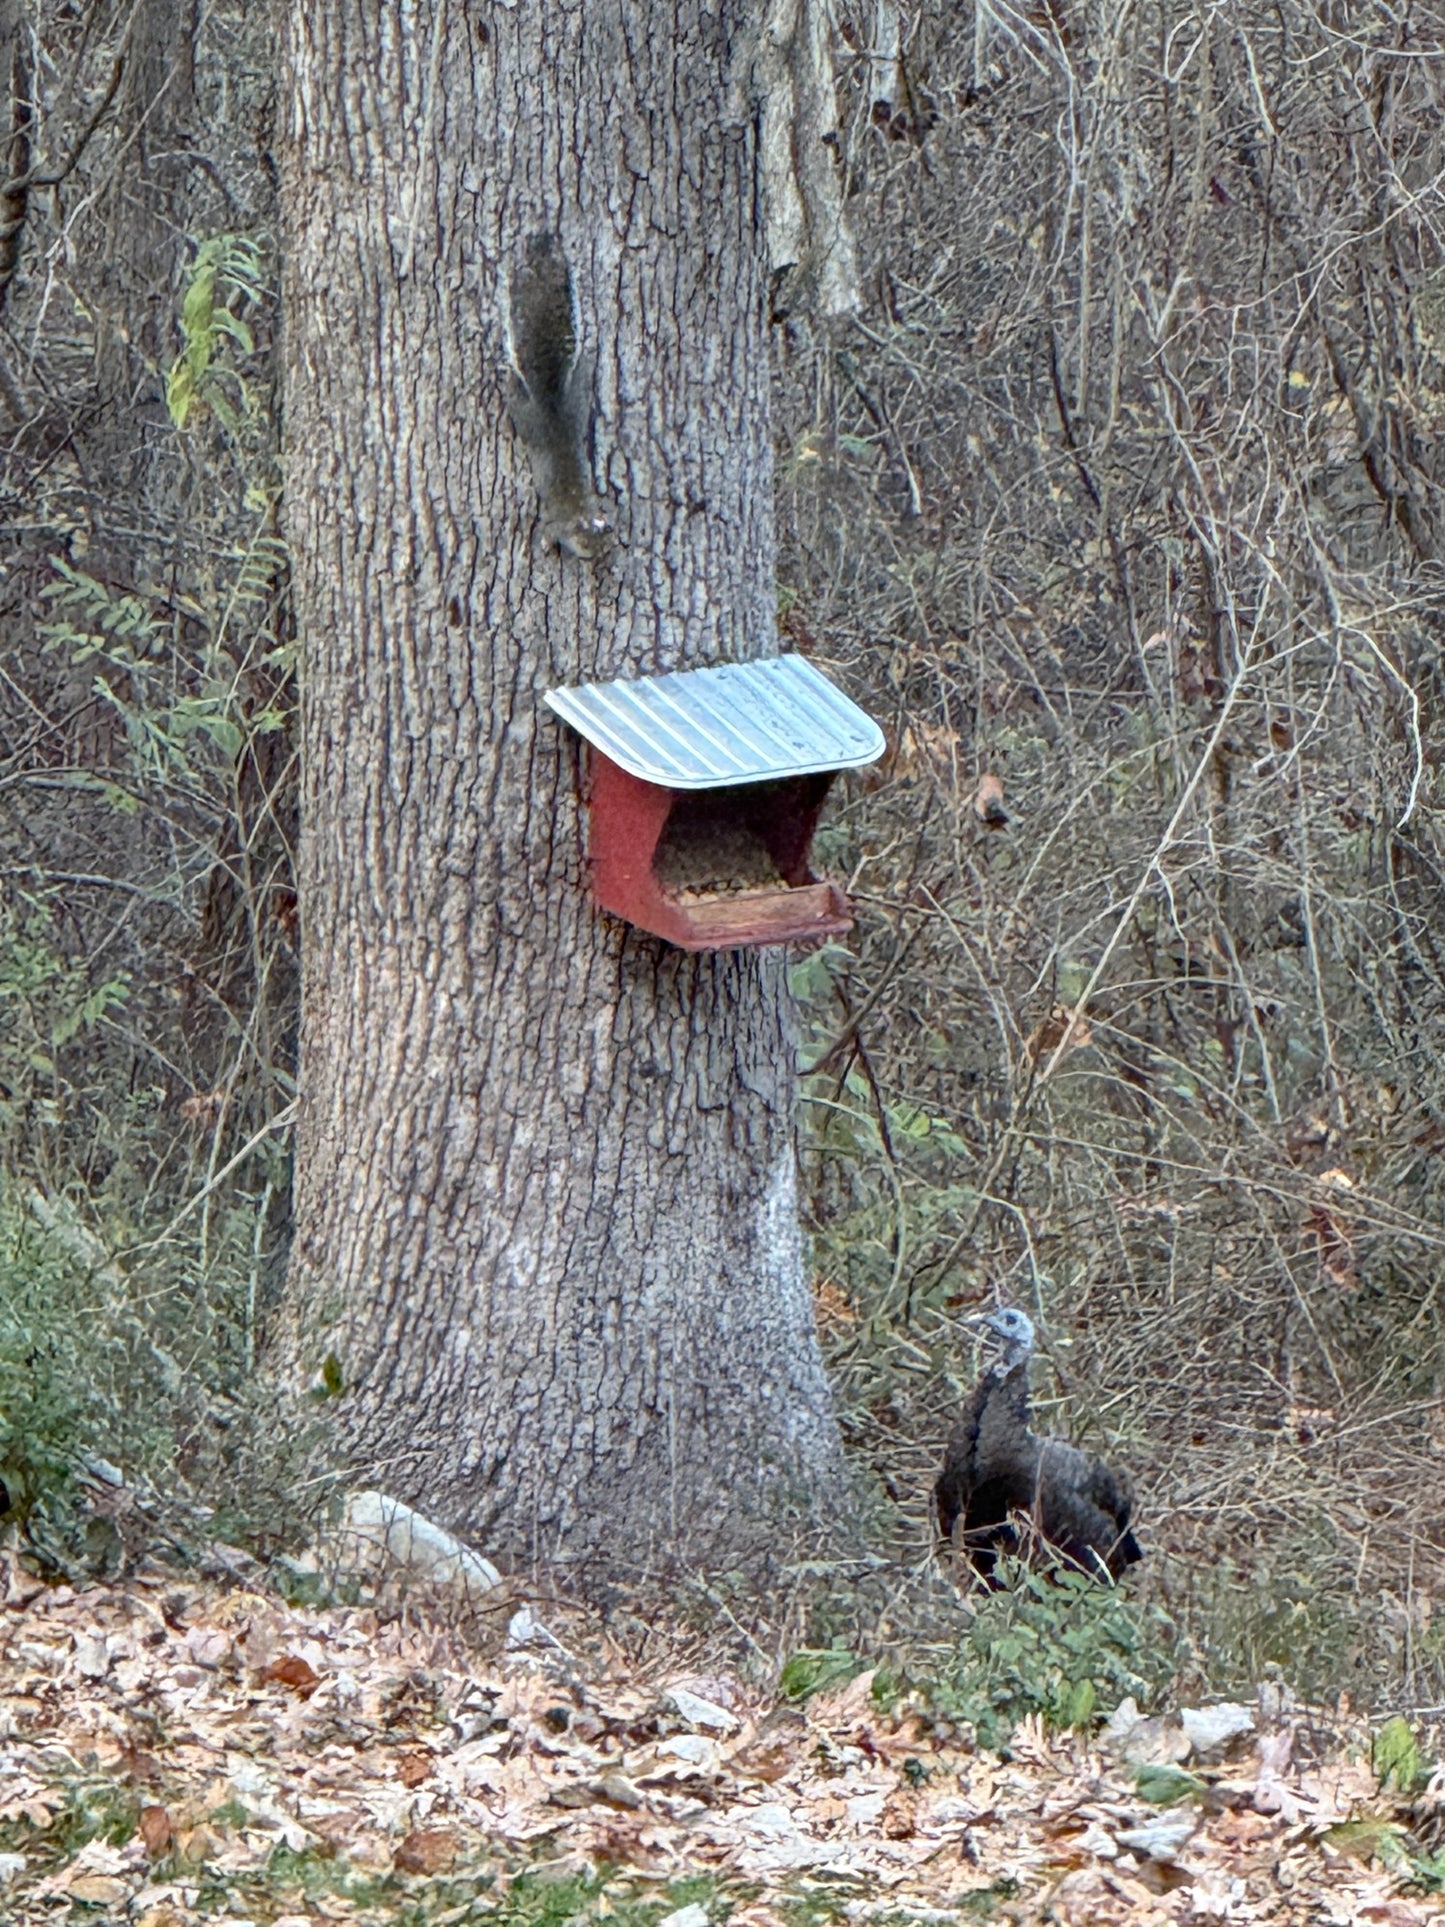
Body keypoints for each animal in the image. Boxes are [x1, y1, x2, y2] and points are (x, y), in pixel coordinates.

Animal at [505, 231, 612, 560]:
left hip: (577, 396)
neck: (579, 513)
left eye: (607, 534)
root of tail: (549, 400)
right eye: (586, 540)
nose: (600, 553)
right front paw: (543, 543)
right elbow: (547, 530)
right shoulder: (557, 523)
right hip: (529, 420)